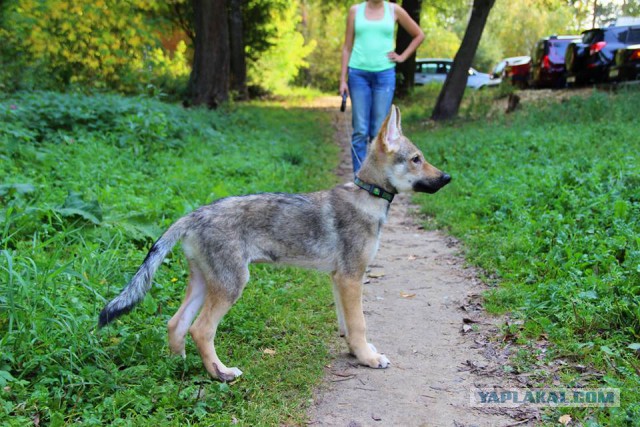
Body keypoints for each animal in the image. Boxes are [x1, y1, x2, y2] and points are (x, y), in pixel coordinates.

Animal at [100, 105, 450, 382]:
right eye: (416, 159)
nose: (447, 178)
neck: (367, 196)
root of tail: (193, 215)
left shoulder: (339, 279)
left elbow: (347, 325)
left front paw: (355, 352)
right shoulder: (352, 277)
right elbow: (359, 324)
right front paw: (368, 358)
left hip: (205, 283)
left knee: (176, 324)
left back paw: (181, 367)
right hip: (232, 285)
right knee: (201, 330)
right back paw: (220, 374)